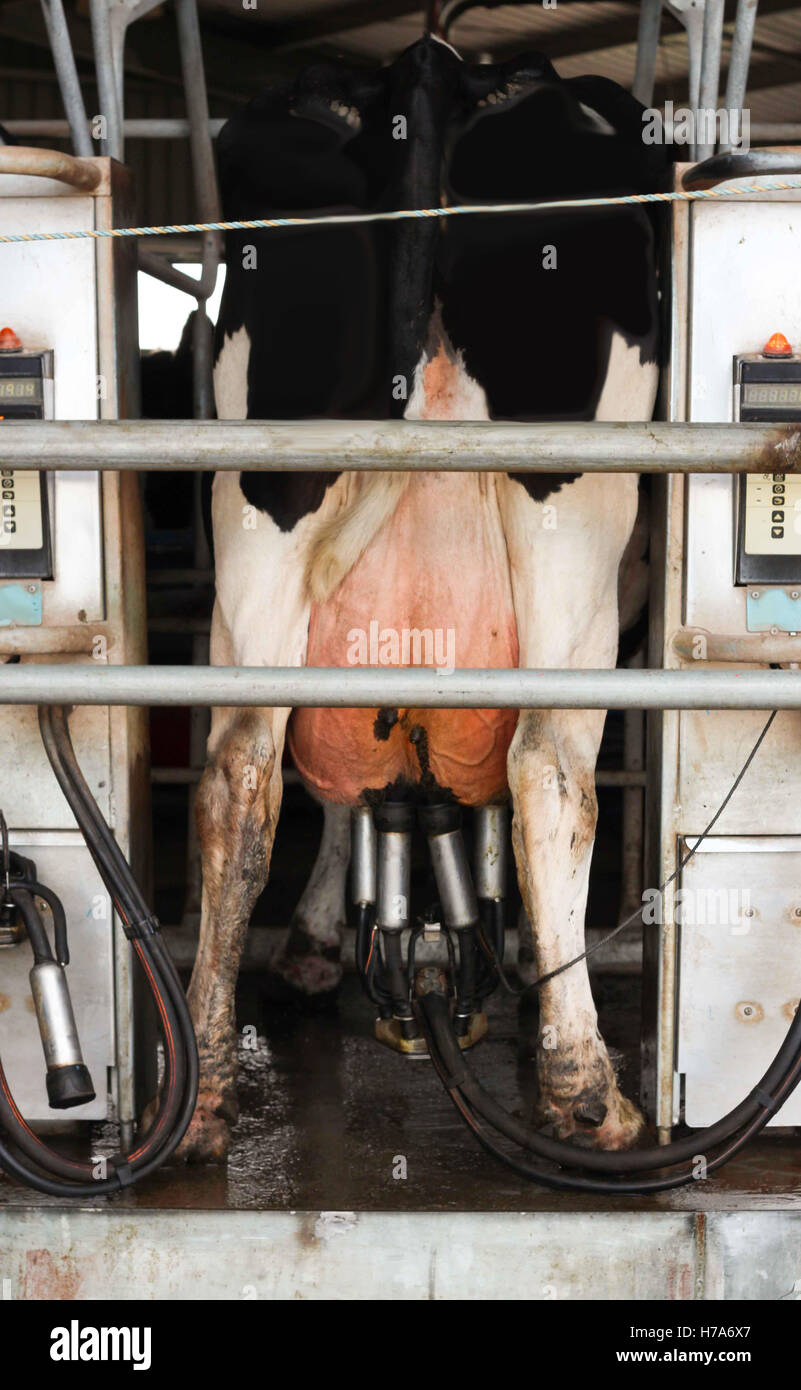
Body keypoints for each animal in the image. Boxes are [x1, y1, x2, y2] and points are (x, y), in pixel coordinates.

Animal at [180, 35, 661, 1162]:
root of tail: (429, 66)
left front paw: (312, 945)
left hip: (260, 511)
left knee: (241, 774)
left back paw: (208, 1091)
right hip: (574, 529)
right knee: (547, 769)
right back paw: (586, 1090)